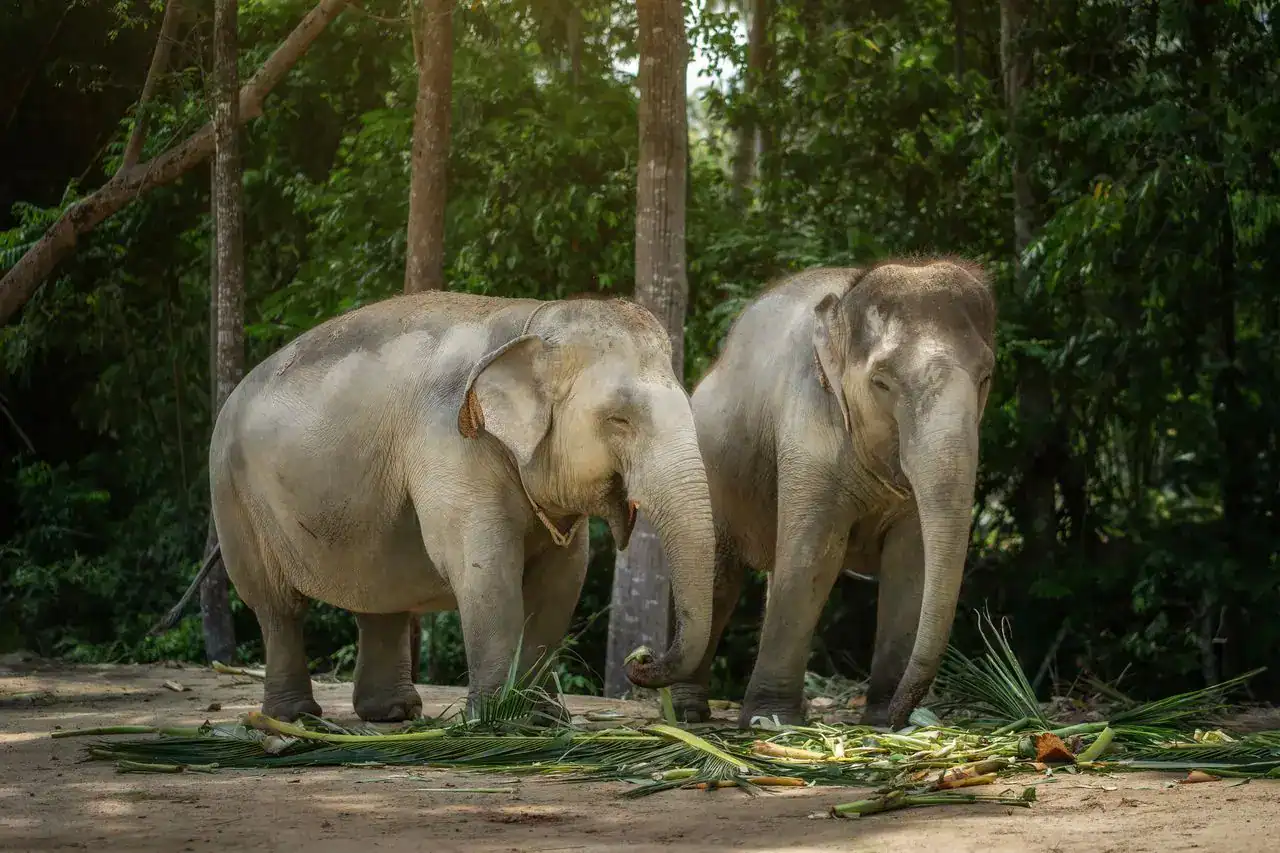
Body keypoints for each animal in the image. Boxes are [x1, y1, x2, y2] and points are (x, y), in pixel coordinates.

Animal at [208, 291, 715, 723]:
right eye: (619, 420)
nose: (641, 658)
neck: (532, 323)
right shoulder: (450, 443)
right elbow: (485, 567)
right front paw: (496, 720)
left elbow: (563, 578)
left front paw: (543, 718)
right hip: (233, 497)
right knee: (276, 607)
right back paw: (295, 719)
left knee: (379, 596)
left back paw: (393, 713)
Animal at [667, 259, 997, 730]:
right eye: (881, 382)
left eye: (986, 376)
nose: (904, 714)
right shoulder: (807, 427)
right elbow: (813, 556)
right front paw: (771, 720)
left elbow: (910, 563)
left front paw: (882, 720)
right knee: (719, 576)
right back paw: (690, 713)